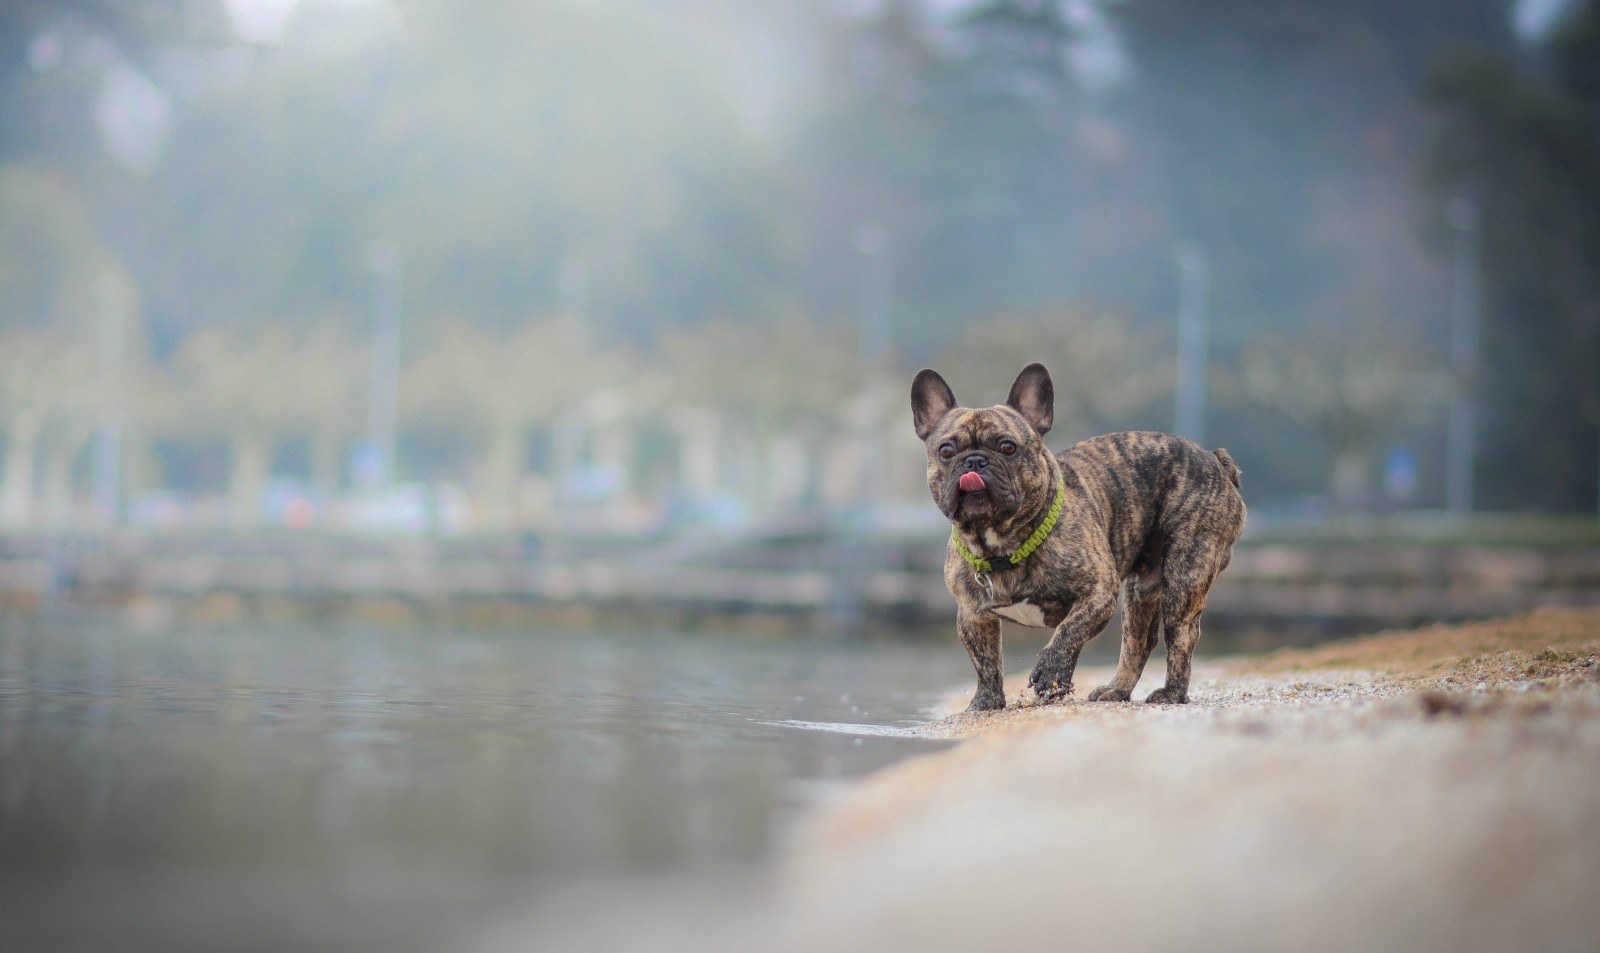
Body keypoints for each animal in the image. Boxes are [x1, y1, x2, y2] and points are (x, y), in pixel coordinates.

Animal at [908, 364, 1241, 706]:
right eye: (946, 451)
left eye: (1008, 447)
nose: (974, 461)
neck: (1001, 543)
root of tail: (1214, 458)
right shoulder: (973, 616)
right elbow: (985, 662)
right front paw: (986, 703)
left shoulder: (1098, 593)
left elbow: (1069, 632)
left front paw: (1052, 674)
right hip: (1142, 589)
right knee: (1138, 641)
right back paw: (1115, 690)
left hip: (1185, 575)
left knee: (1181, 635)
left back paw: (1171, 693)